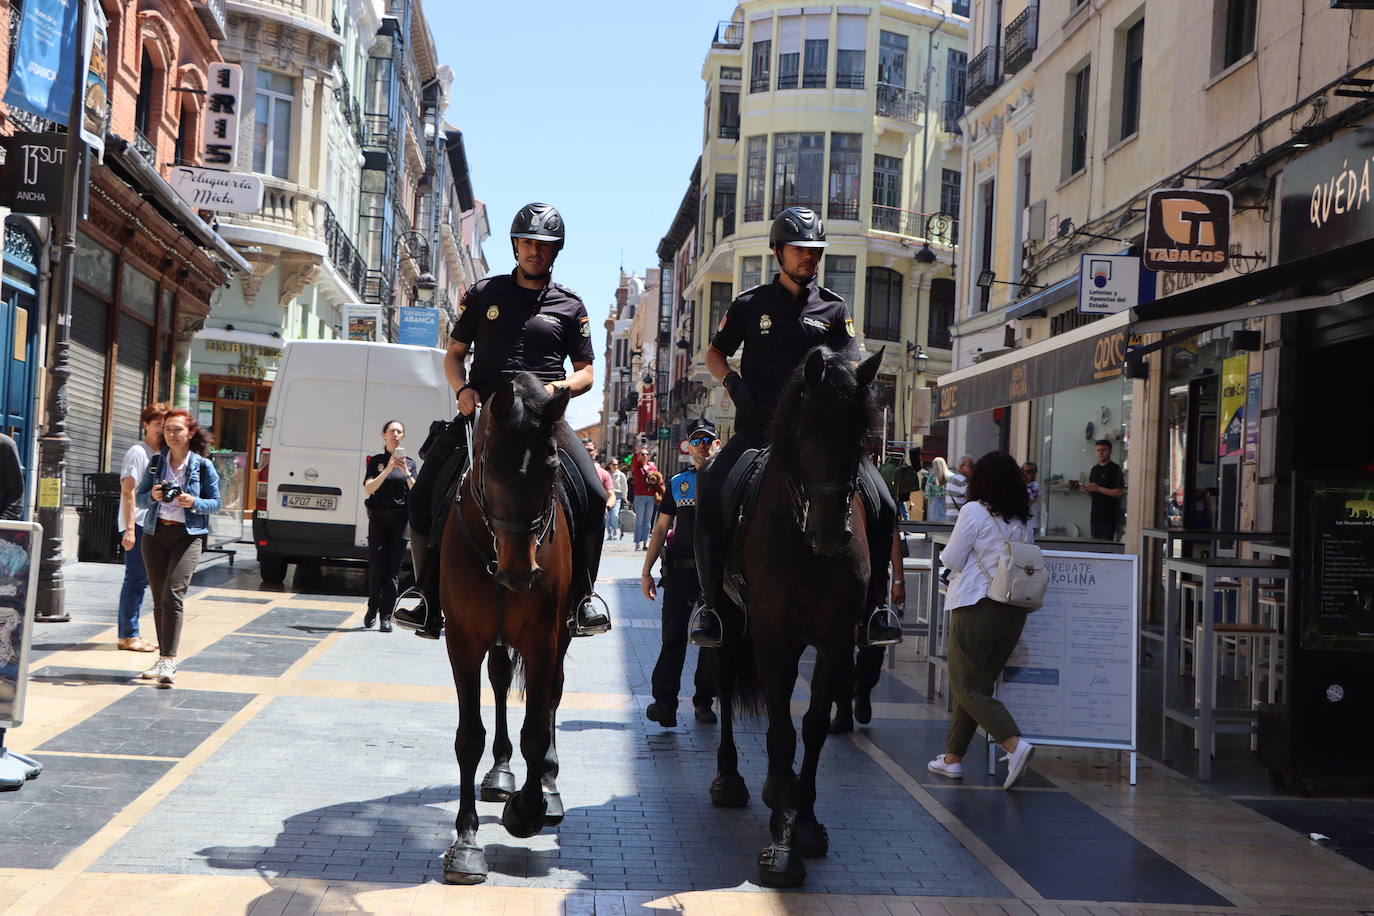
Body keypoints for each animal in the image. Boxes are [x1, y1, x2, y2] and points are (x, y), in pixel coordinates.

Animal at [436, 373, 571, 889]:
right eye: (491, 465)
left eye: (551, 468)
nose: (518, 571)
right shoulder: (463, 640)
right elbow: (468, 737)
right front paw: (466, 843)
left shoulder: (543, 639)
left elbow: (535, 726)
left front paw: (527, 811)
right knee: (497, 682)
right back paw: (499, 772)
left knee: (550, 698)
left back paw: (547, 786)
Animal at [708, 346, 879, 889]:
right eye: (805, 434)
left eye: (862, 438)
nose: (830, 534)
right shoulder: (771, 635)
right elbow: (782, 730)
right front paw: (781, 847)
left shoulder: (835, 638)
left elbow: (814, 726)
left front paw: (804, 821)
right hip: (726, 622)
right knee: (724, 684)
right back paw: (731, 779)